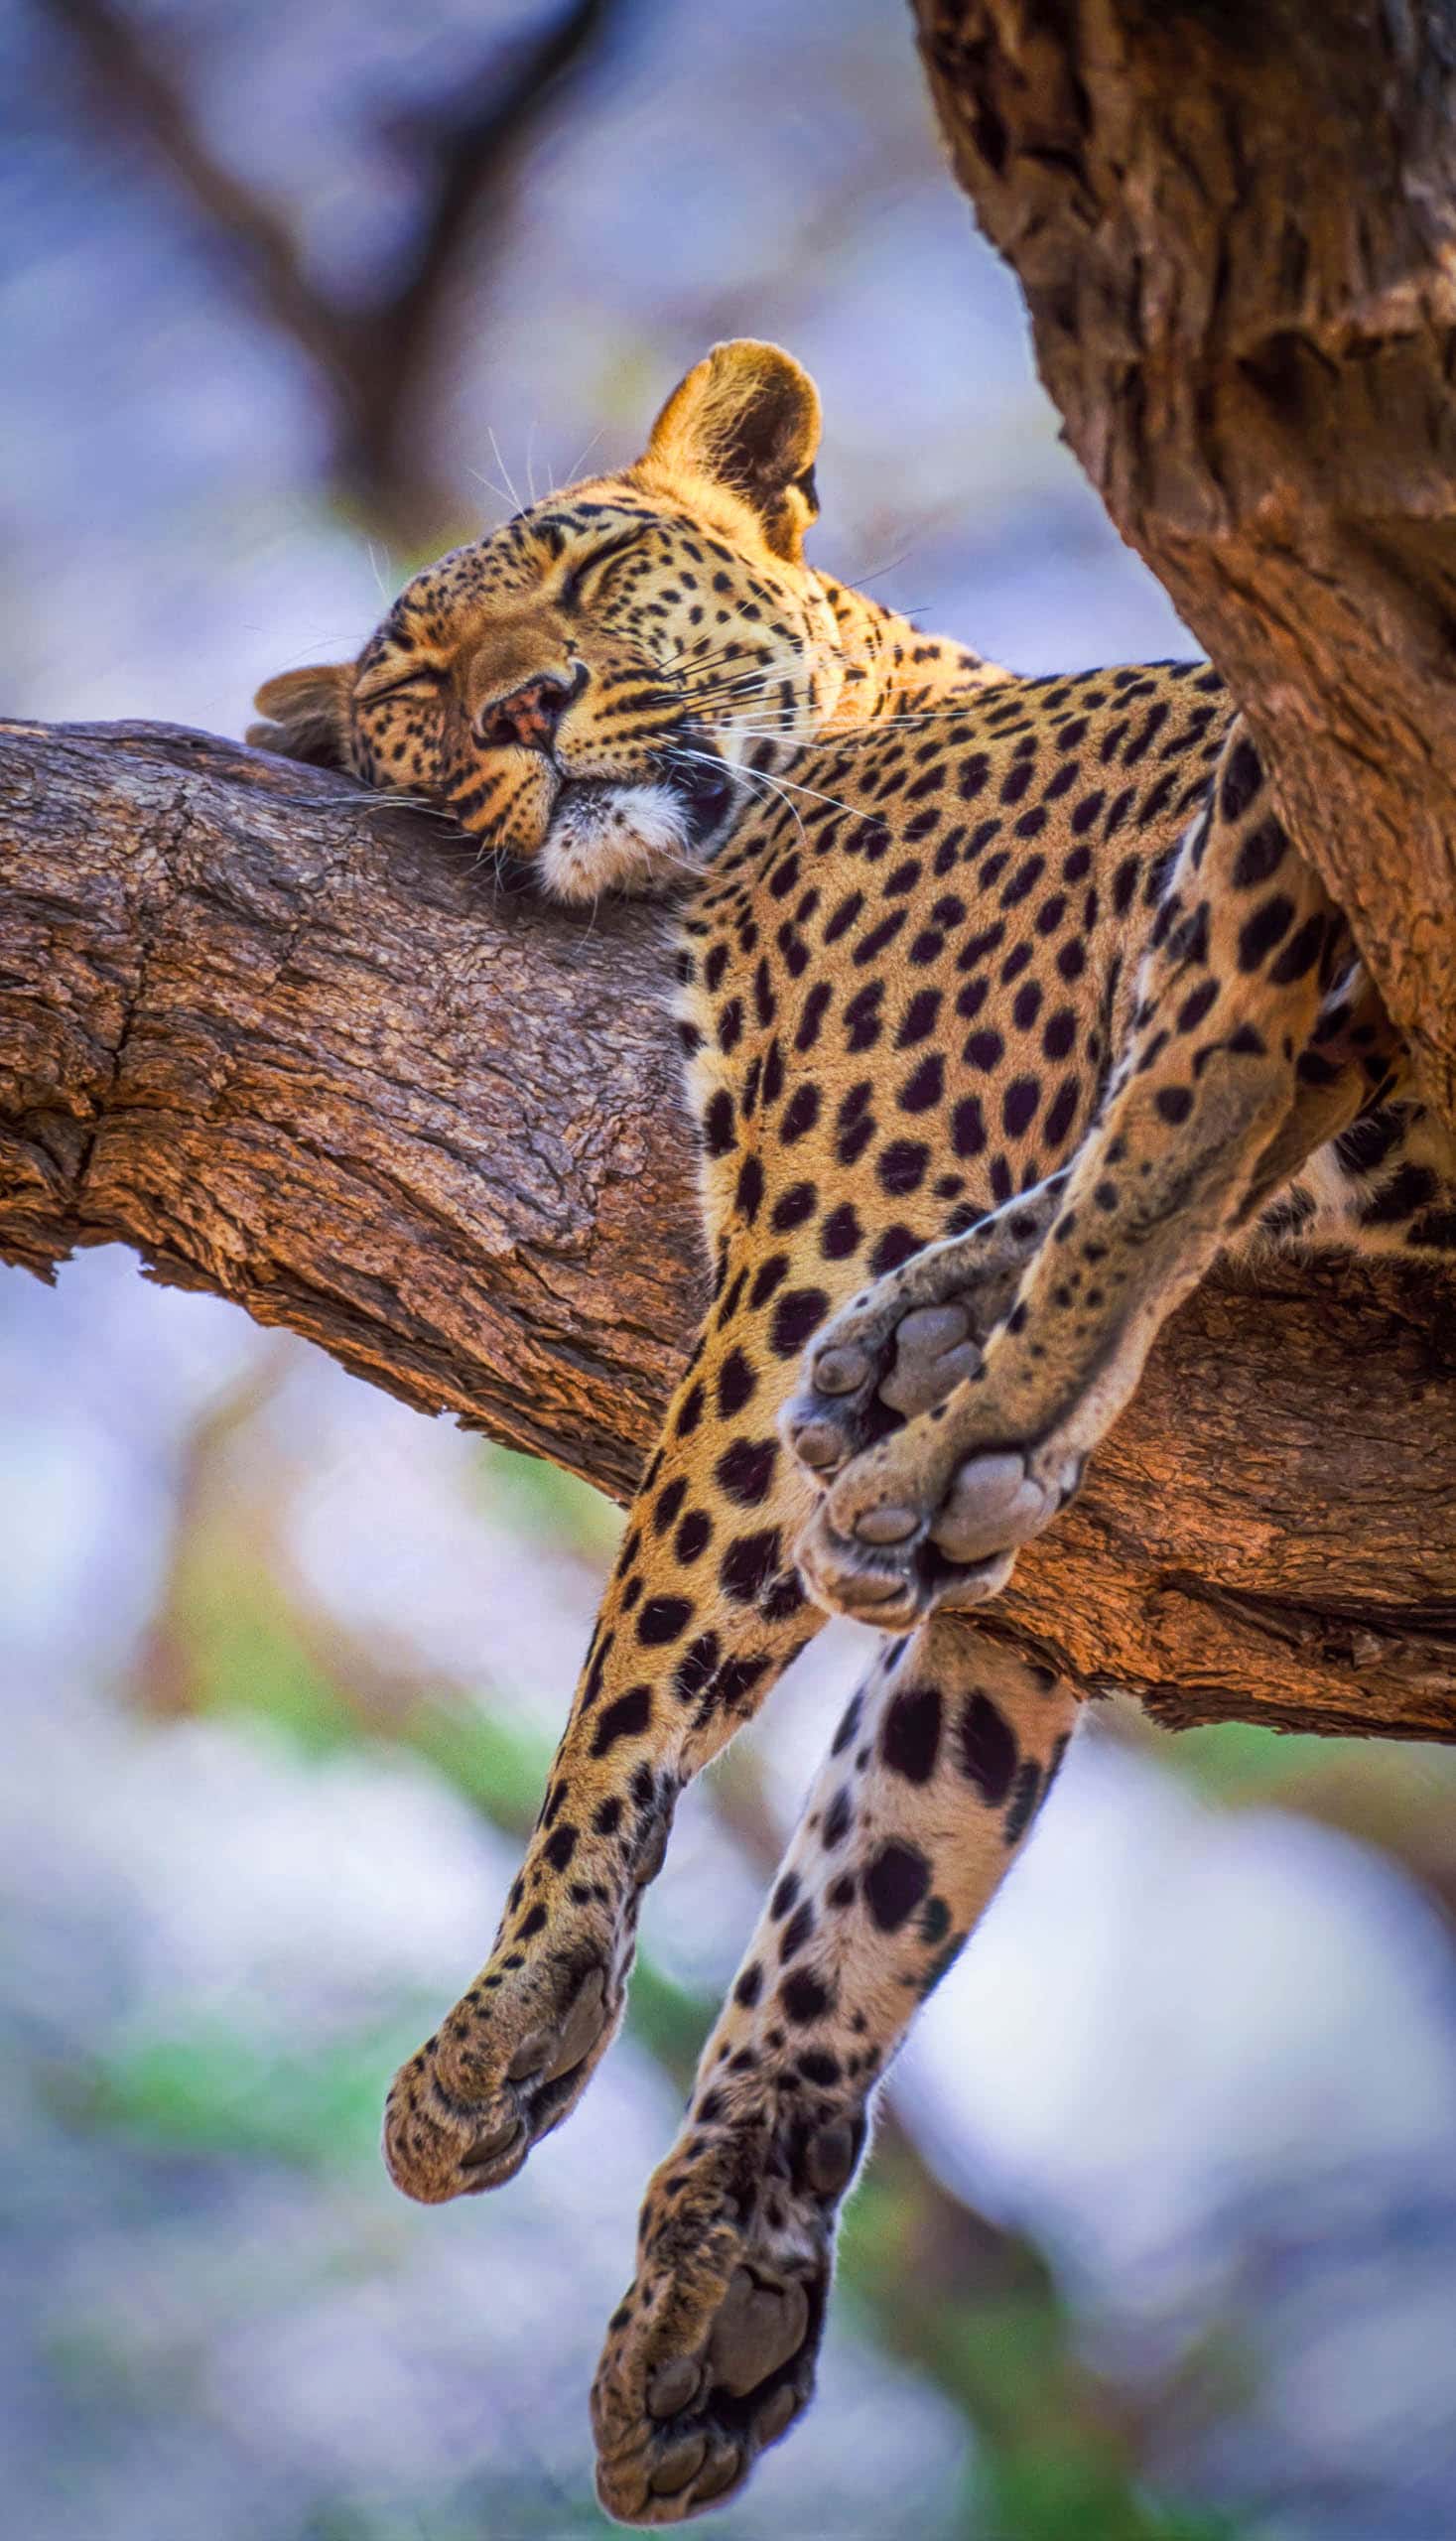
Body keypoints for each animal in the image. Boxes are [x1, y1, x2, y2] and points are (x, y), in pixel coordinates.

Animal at [250, 337, 1453, 2520]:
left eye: (592, 568)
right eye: (410, 674)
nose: (516, 708)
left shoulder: (812, 1232)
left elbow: (630, 1655)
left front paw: (507, 2009)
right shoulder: (1046, 1607)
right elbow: (871, 1870)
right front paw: (719, 2263)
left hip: (1277, 771)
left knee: (1217, 1074)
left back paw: (943, 1395)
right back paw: (928, 1385)